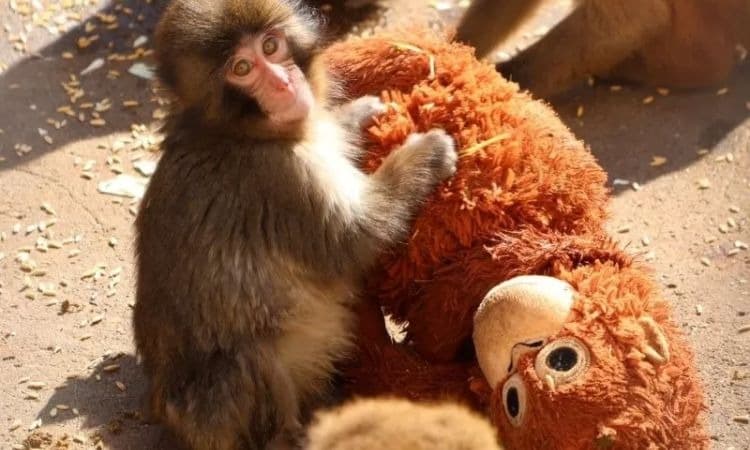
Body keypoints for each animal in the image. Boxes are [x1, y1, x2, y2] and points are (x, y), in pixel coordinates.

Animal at [132, 0, 457, 449]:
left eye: (271, 46)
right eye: (242, 68)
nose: (284, 83)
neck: (239, 133)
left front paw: (355, 115)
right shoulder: (281, 178)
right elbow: (354, 238)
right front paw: (425, 154)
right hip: (213, 415)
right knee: (248, 359)